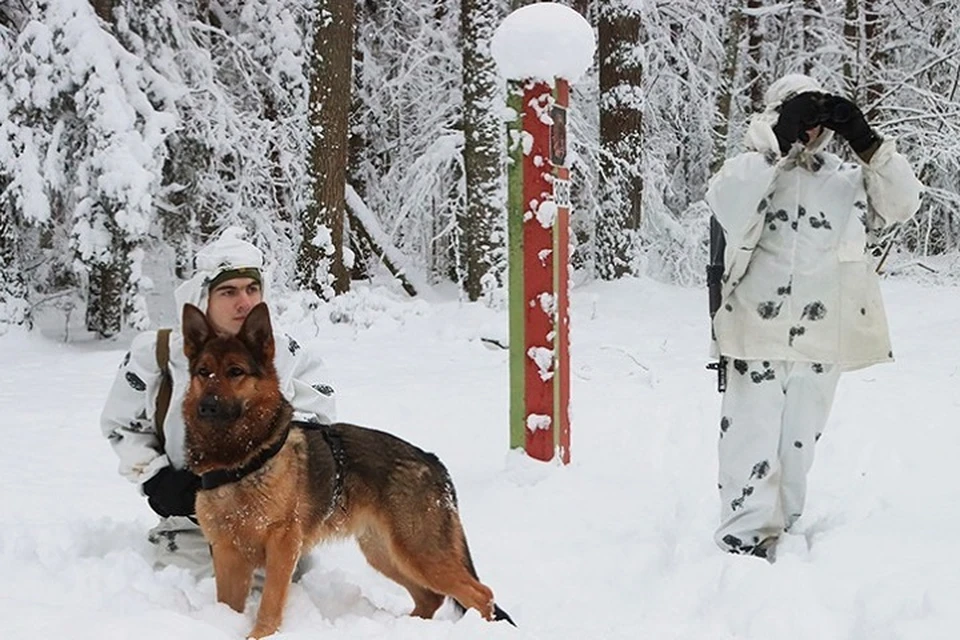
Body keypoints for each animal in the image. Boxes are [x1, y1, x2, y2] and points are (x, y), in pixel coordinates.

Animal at [179, 302, 510, 636]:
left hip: (419, 552)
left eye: (235, 372)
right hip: (385, 553)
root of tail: (433, 460)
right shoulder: (227, 553)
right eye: (203, 372)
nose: (206, 406)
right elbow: (227, 605)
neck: (240, 460)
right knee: (431, 597)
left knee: (482, 595)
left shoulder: (283, 546)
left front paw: (260, 635)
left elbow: (270, 603)